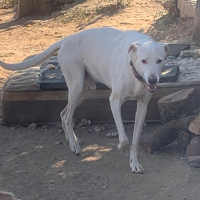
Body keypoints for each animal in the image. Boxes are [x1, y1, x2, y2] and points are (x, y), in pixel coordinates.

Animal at [0, 27, 169, 173]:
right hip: (76, 87)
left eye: (159, 61)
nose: (153, 80)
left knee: (63, 114)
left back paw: (71, 139)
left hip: (83, 91)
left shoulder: (142, 107)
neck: (135, 74)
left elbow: (134, 141)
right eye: (143, 61)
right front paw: (121, 147)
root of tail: (67, 39)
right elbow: (125, 139)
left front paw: (134, 163)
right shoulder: (114, 102)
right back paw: (74, 145)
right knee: (67, 116)